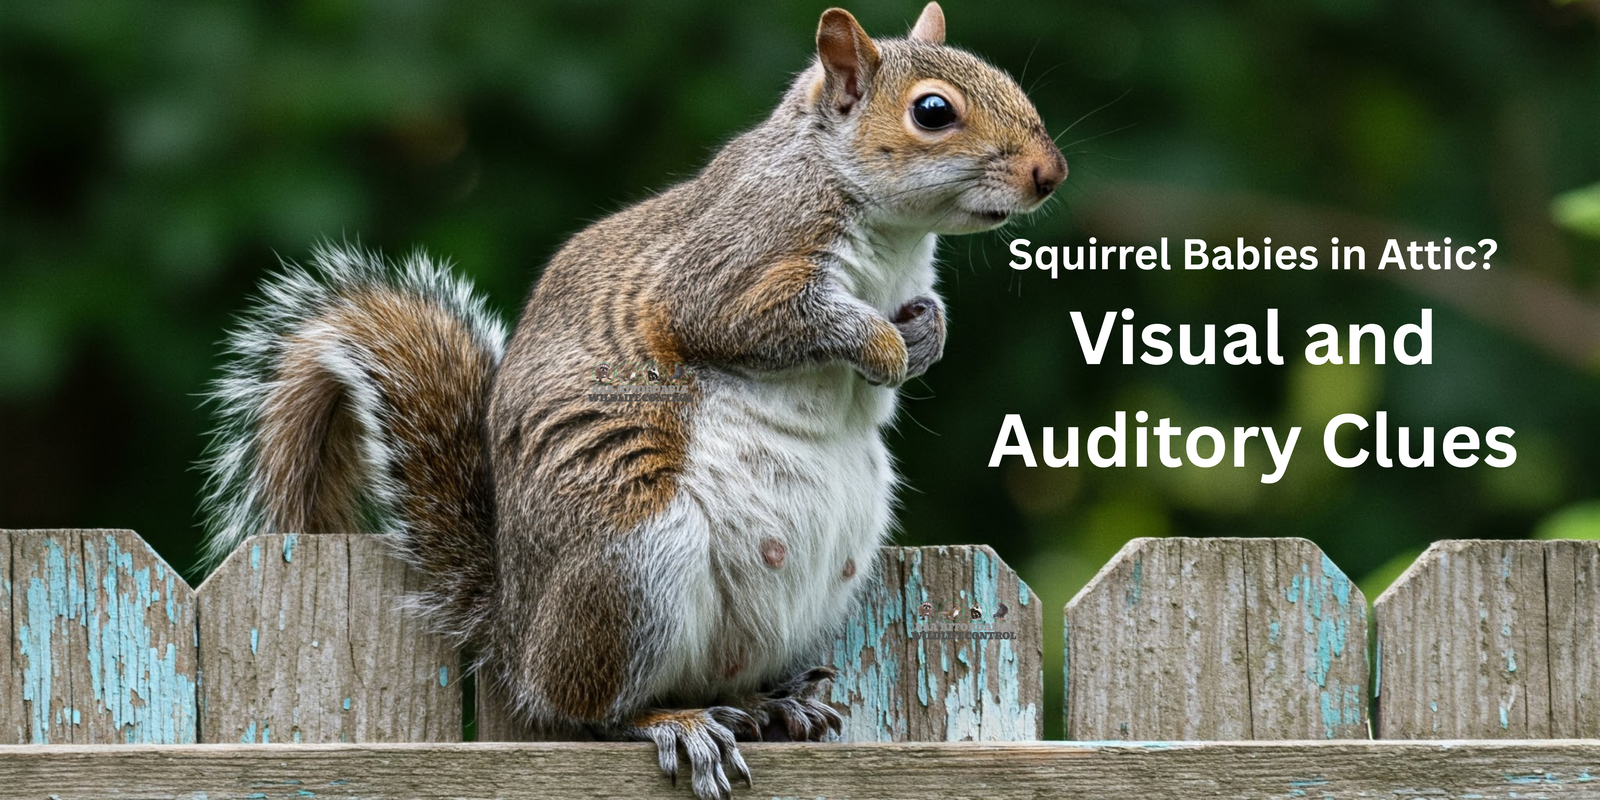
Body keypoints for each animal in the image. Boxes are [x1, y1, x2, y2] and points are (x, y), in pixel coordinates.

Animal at [199, 5, 1063, 798]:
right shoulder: (736, 265)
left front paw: (923, 339)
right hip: (629, 560)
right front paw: (880, 347)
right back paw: (674, 723)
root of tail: (517, 636)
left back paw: (773, 704)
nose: (1048, 174)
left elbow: (925, 315)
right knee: (588, 710)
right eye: (933, 111)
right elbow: (764, 321)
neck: (885, 229)